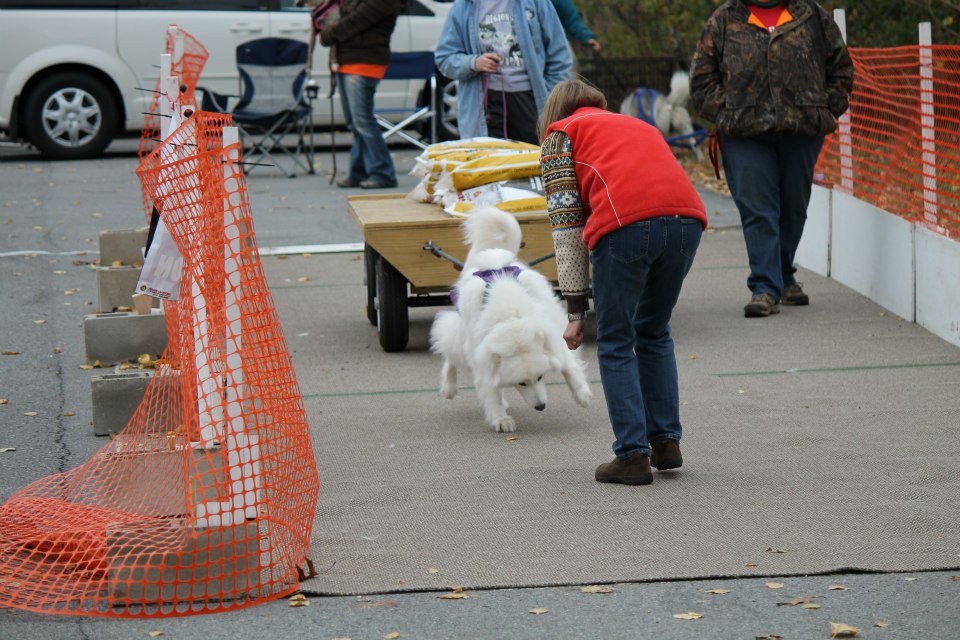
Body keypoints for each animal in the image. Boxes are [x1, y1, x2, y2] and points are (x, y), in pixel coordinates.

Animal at [430, 208, 592, 432]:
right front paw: (500, 419)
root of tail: (491, 255)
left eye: (540, 377)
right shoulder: (482, 356)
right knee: (450, 352)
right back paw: (449, 387)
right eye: (521, 383)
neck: (512, 320)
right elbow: (491, 391)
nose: (541, 406)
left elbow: (569, 366)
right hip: (463, 337)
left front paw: (582, 394)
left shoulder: (556, 335)